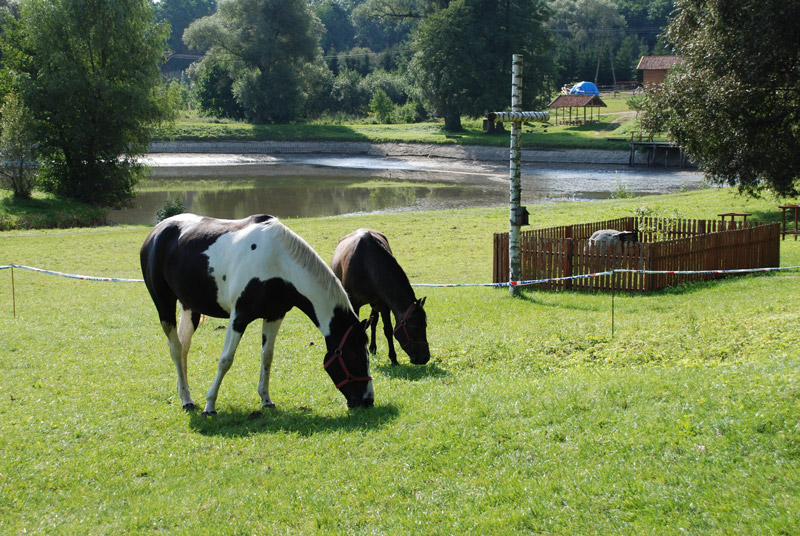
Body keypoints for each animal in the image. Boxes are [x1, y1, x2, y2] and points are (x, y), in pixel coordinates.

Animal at [140, 215, 372, 414]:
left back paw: (184, 392)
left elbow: (267, 356)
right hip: (164, 305)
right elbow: (226, 360)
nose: (367, 400)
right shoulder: (238, 318)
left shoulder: (274, 316)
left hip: (189, 309)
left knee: (183, 348)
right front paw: (210, 404)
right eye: (355, 355)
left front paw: (266, 400)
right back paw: (187, 401)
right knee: (175, 349)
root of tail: (157, 231)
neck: (278, 262)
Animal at [332, 228, 432, 366]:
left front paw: (393, 358)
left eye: (425, 326)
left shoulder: (383, 303)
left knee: (373, 322)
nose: (425, 358)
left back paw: (373, 348)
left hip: (375, 304)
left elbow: (388, 330)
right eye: (416, 328)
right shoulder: (354, 304)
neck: (366, 264)